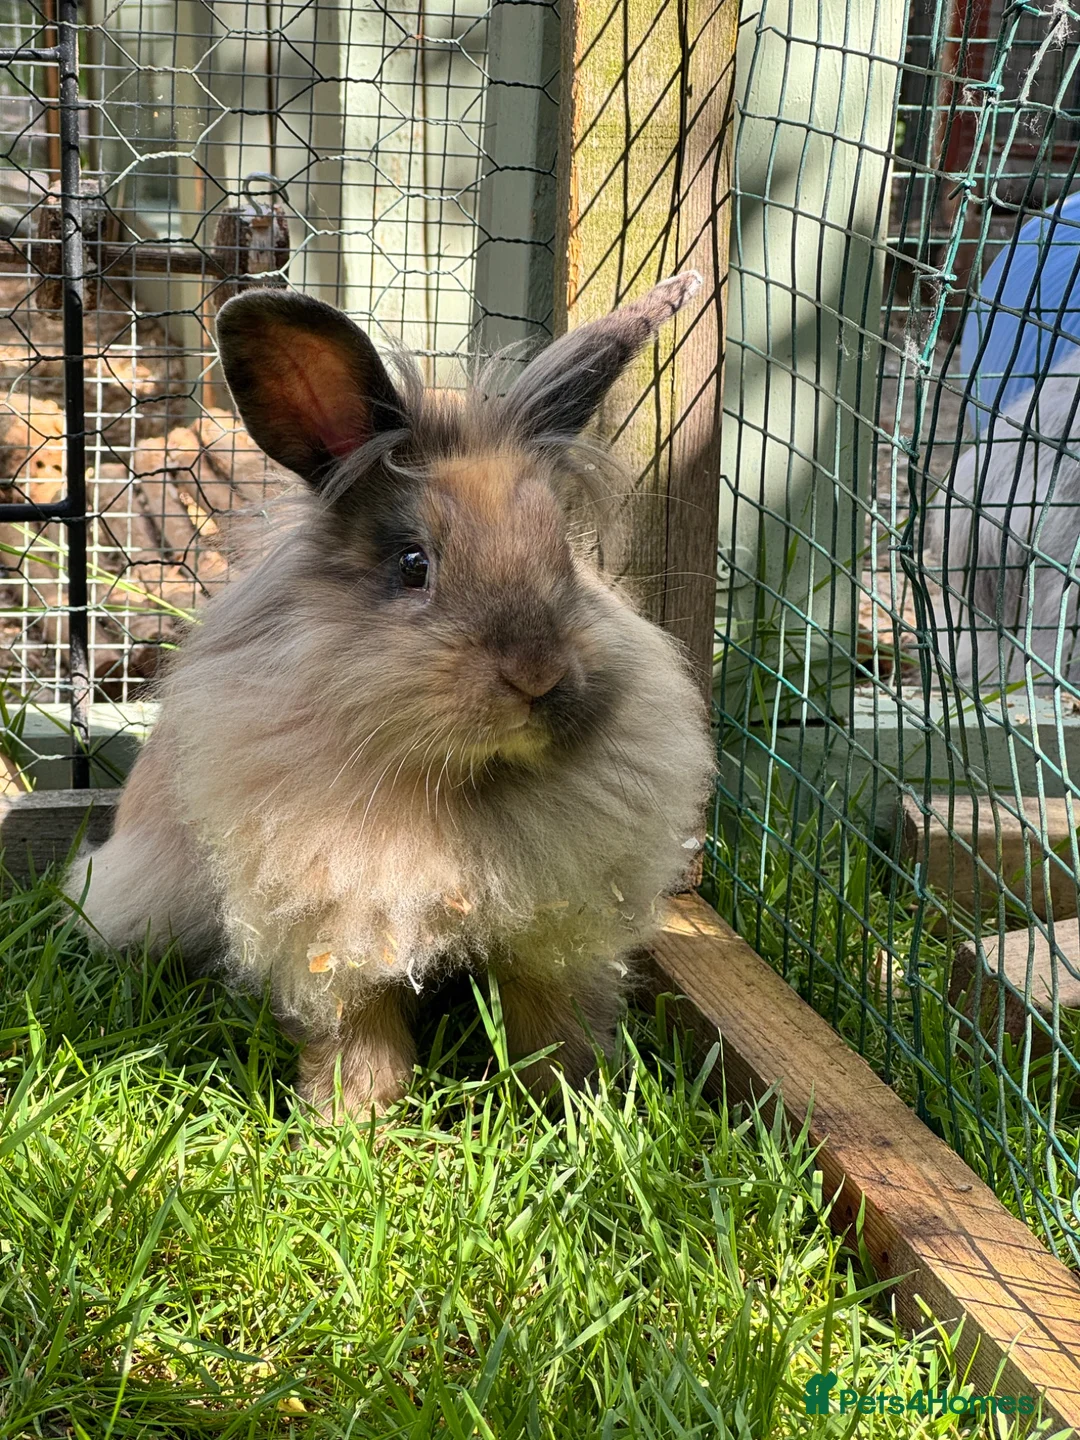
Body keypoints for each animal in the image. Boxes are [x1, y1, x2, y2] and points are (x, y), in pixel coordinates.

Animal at [69, 273, 716, 1121]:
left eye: (565, 558)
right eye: (413, 565)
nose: (537, 674)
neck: (469, 785)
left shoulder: (554, 935)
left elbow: (549, 1020)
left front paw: (567, 1106)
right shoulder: (340, 929)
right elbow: (360, 1032)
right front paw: (356, 1122)